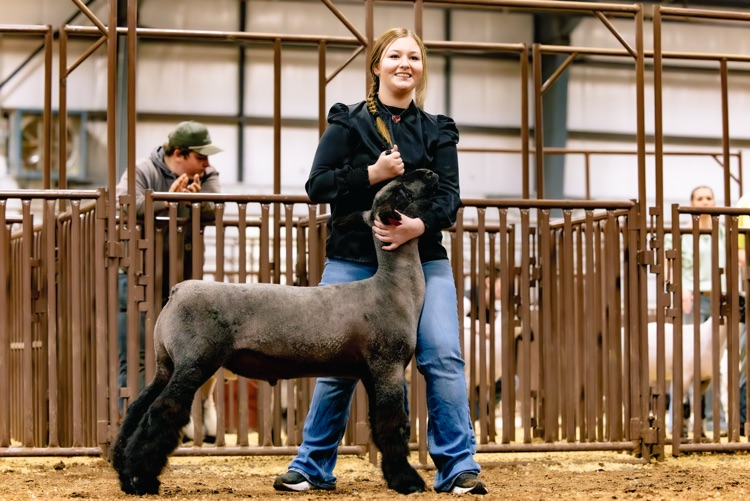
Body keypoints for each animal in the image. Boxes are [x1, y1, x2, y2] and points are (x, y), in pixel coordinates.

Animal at [110, 169, 439, 496]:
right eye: (402, 189)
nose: (430, 173)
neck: (393, 287)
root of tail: (176, 292)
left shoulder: (371, 372)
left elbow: (379, 424)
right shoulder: (388, 365)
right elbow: (393, 424)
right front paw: (408, 481)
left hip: (167, 364)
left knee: (137, 408)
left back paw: (124, 472)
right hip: (194, 361)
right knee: (163, 410)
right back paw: (141, 480)